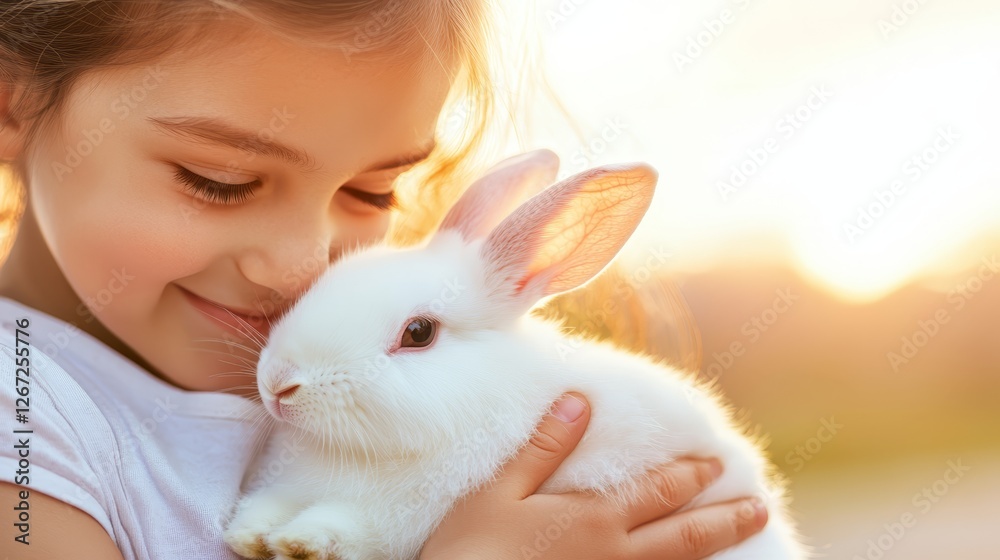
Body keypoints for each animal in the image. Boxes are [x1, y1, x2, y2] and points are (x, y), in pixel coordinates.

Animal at [223, 149, 808, 560]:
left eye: (418, 333)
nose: (278, 384)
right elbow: (266, 508)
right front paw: (251, 536)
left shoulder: (401, 516)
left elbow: (353, 528)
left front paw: (299, 543)